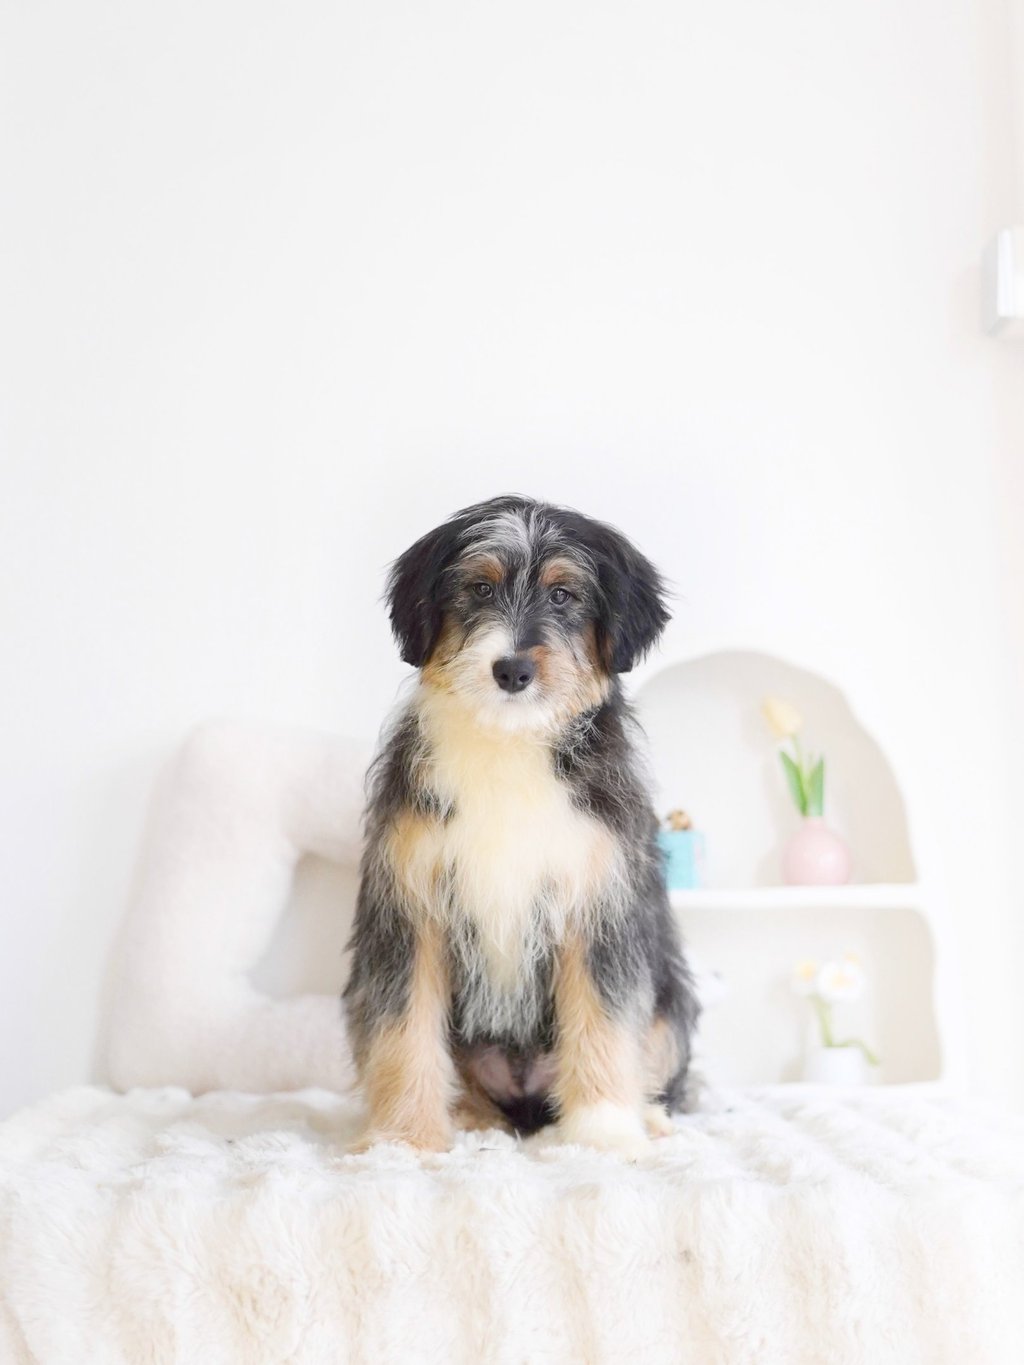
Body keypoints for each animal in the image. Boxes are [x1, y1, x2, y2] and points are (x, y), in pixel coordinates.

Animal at [343, 494, 700, 1156]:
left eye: (563, 595)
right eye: (480, 587)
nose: (511, 669)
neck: (508, 744)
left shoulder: (599, 905)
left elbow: (604, 1019)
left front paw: (603, 1133)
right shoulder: (410, 908)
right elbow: (404, 1029)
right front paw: (403, 1141)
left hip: (672, 1002)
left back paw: (649, 1117)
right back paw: (470, 1118)